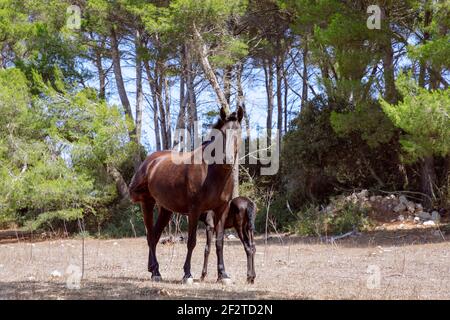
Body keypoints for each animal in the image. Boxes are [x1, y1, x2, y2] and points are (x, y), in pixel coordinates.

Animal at [128, 107, 244, 282]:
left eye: (239, 133)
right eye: (223, 134)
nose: (228, 159)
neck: (211, 172)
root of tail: (150, 162)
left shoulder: (221, 210)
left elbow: (219, 242)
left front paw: (223, 274)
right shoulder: (194, 211)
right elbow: (191, 242)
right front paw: (187, 274)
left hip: (166, 210)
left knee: (155, 236)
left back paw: (154, 270)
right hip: (147, 203)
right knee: (150, 236)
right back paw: (156, 273)